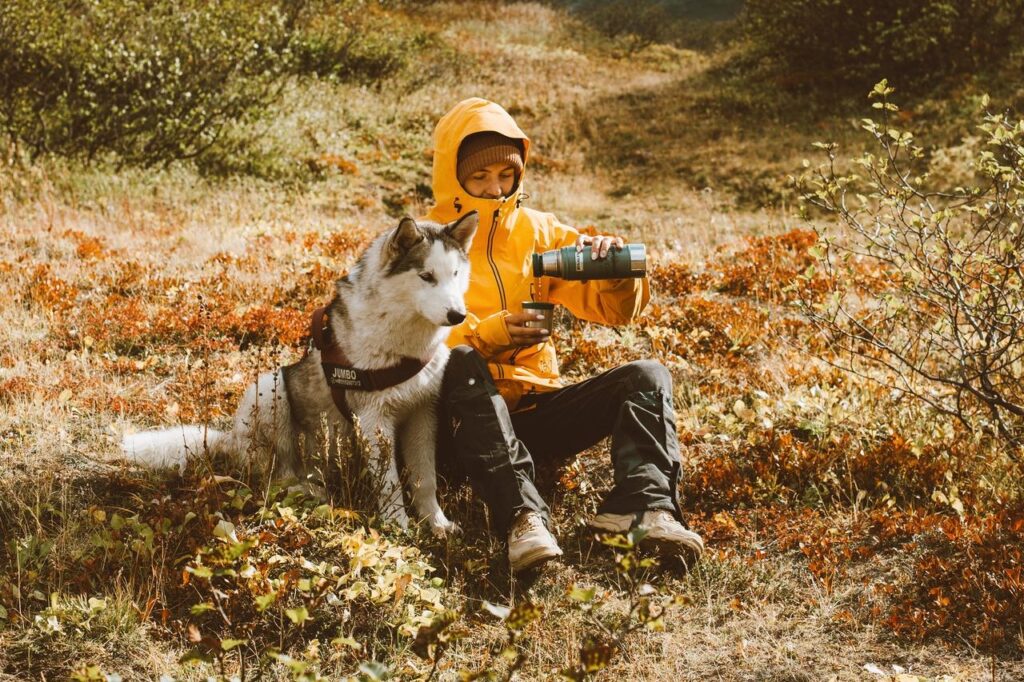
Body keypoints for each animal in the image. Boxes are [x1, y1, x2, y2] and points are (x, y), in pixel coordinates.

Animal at [121, 209, 477, 532]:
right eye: (426, 276)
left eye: (455, 273)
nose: (458, 315)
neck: (405, 343)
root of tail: (230, 438)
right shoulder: (375, 419)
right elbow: (390, 484)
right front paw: (398, 527)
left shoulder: (422, 413)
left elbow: (425, 478)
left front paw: (437, 524)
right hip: (270, 387)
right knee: (276, 476)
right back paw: (306, 489)